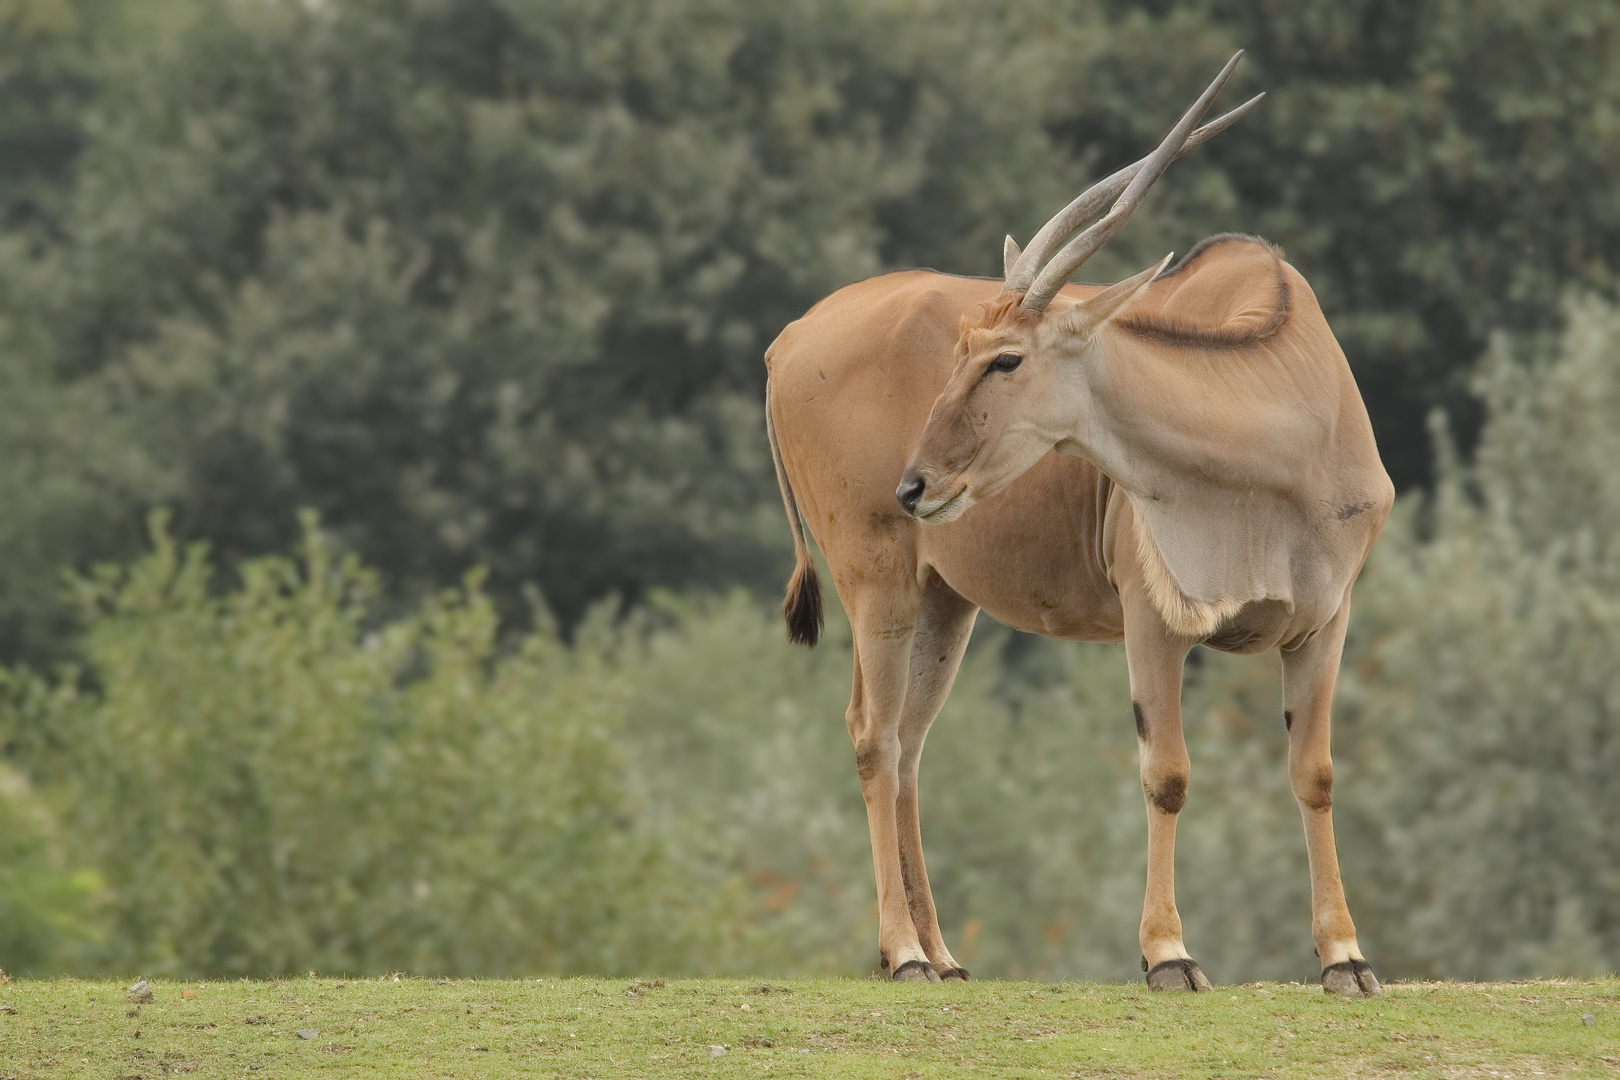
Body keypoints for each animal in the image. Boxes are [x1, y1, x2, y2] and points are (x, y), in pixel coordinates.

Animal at [761, 52, 1393, 997]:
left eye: (1005, 358)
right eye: (959, 352)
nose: (914, 484)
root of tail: (787, 341)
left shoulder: (1326, 619)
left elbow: (1313, 773)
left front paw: (1345, 957)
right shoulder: (1153, 619)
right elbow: (1167, 773)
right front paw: (1169, 954)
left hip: (945, 600)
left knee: (909, 743)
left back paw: (941, 953)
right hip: (876, 577)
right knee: (873, 736)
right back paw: (903, 952)